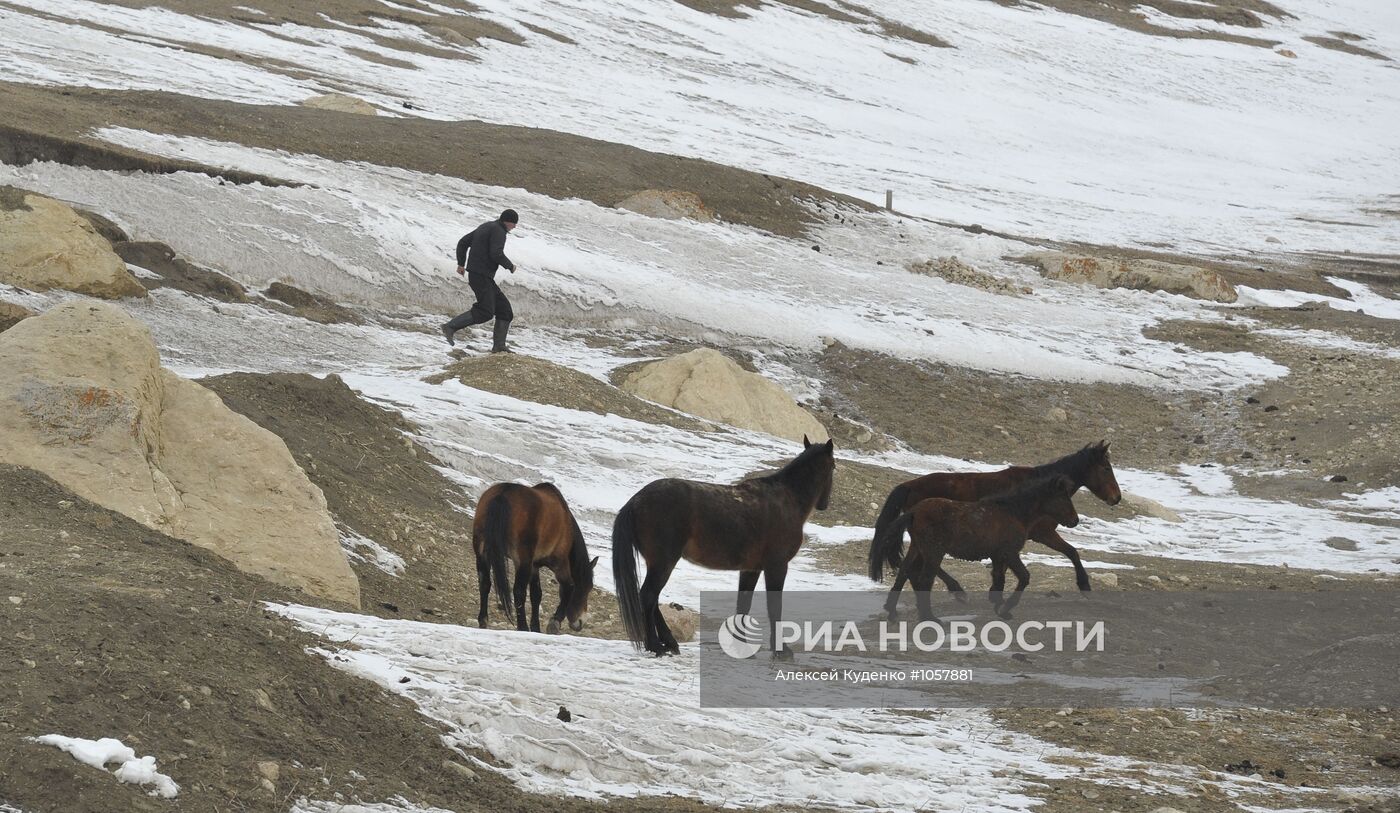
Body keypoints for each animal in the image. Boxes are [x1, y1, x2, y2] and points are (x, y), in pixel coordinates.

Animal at [476, 481, 596, 635]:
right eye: (587, 588)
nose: (580, 622)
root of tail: (503, 493)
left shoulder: (534, 565)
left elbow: (536, 595)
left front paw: (536, 628)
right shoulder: (560, 563)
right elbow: (568, 586)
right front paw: (554, 623)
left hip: (482, 552)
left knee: (484, 583)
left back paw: (483, 620)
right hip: (522, 561)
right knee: (518, 591)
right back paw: (522, 627)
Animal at [610, 433, 828, 654]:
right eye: (833, 467)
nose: (824, 504)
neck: (786, 500)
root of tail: (635, 501)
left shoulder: (751, 569)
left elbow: (744, 604)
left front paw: (741, 645)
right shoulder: (777, 567)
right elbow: (774, 607)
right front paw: (781, 650)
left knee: (653, 600)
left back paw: (669, 642)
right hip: (664, 563)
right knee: (648, 596)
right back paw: (656, 645)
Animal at [868, 439, 1120, 593]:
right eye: (1106, 468)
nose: (1116, 498)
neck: (1038, 492)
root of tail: (909, 485)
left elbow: (1069, 552)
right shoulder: (1042, 534)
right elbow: (1072, 552)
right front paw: (1084, 584)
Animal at [873, 472, 1080, 618]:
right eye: (1063, 498)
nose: (1075, 520)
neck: (1013, 512)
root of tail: (914, 511)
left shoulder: (998, 556)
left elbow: (999, 579)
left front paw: (999, 607)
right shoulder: (1010, 553)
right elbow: (1023, 577)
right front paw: (1005, 609)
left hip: (917, 548)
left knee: (904, 572)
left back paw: (892, 611)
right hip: (933, 552)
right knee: (924, 580)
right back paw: (930, 617)